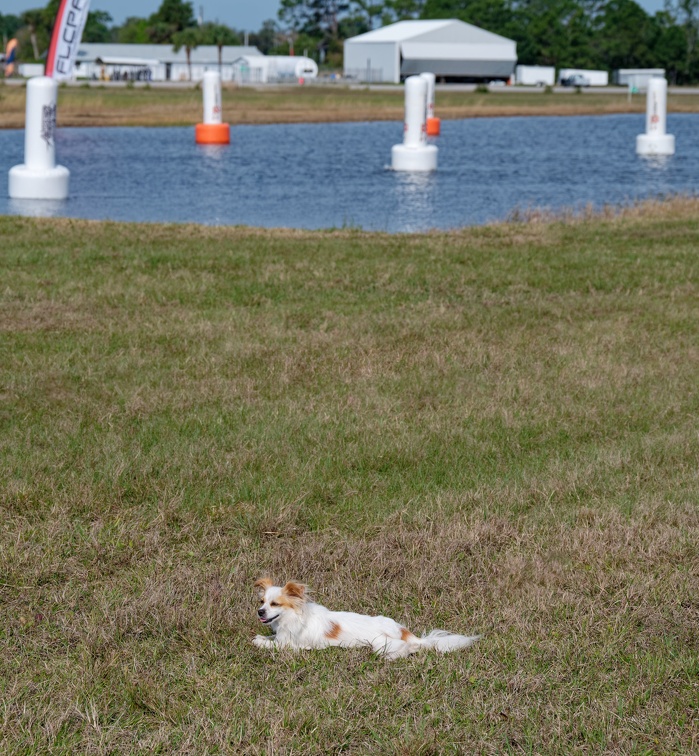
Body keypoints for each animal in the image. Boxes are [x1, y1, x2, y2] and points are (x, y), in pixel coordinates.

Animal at [253, 580, 482, 660]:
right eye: (262, 602)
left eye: (275, 604)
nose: (259, 612)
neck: (292, 617)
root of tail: (405, 632)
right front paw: (262, 637)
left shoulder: (292, 645)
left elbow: (271, 644)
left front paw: (259, 642)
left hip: (381, 644)